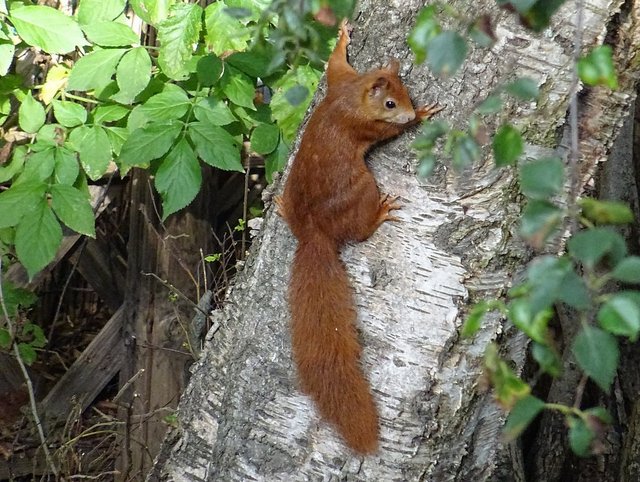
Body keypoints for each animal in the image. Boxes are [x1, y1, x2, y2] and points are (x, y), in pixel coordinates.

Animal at [276, 20, 442, 454]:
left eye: (406, 92)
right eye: (391, 104)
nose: (409, 109)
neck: (353, 96)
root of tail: (314, 234)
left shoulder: (340, 81)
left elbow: (335, 63)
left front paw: (343, 34)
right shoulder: (365, 123)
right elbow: (388, 132)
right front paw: (422, 116)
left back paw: (280, 206)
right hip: (363, 189)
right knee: (361, 231)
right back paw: (380, 214)